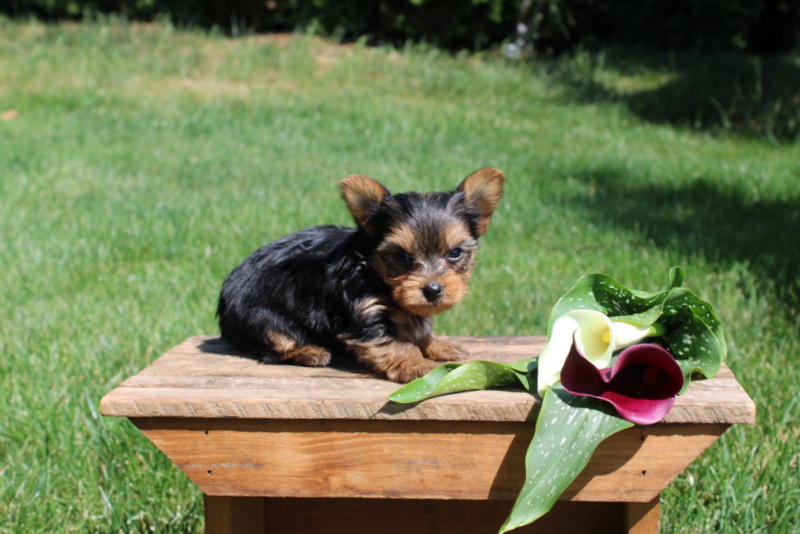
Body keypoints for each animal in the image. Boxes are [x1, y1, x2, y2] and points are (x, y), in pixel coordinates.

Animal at [216, 170, 504, 384]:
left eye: (455, 253)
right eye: (401, 256)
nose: (432, 290)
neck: (373, 270)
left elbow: (418, 327)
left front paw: (436, 345)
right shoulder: (366, 309)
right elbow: (392, 342)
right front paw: (415, 364)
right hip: (260, 317)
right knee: (274, 344)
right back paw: (309, 351)